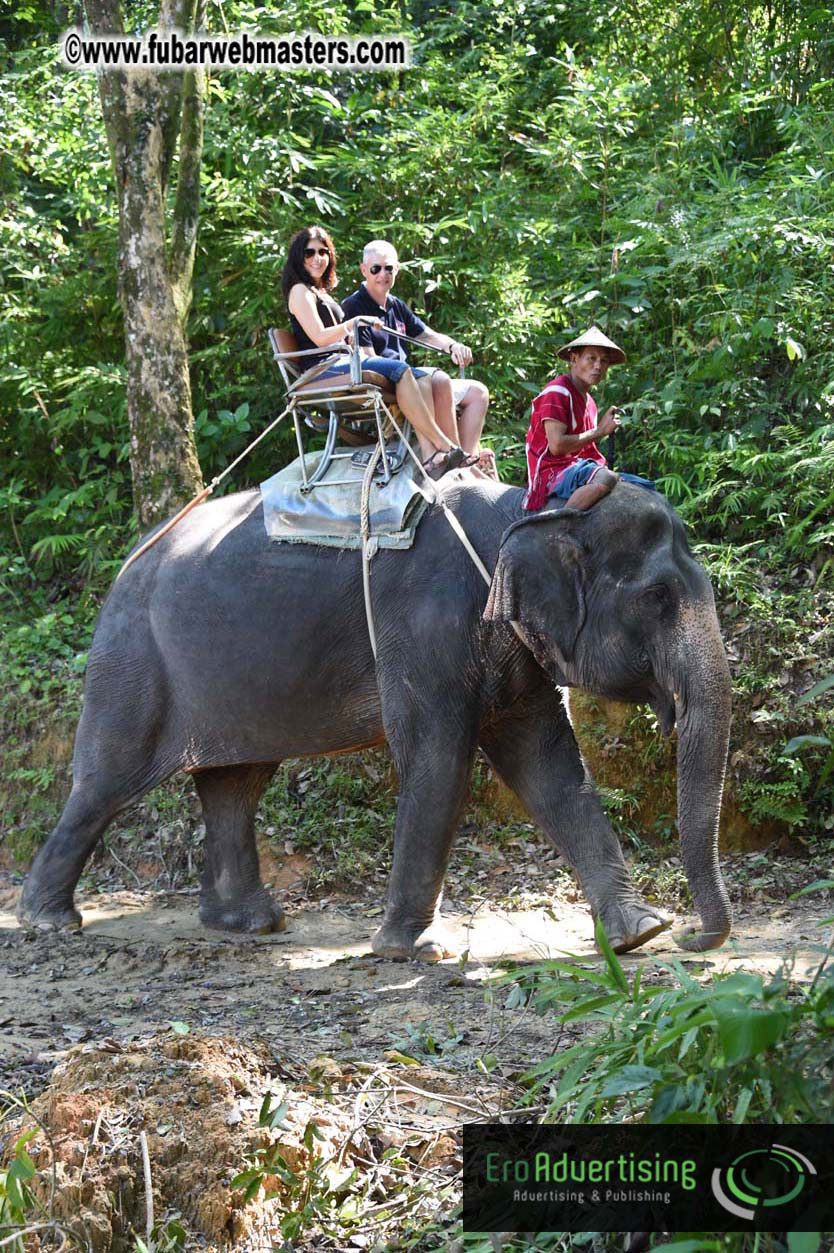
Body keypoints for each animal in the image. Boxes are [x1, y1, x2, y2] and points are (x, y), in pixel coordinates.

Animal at [18, 478, 733, 957]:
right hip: (133, 660)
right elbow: (440, 758)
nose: (695, 937)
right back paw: (48, 921)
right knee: (107, 782)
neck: (529, 511)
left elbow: (552, 768)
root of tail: (127, 561)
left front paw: (639, 932)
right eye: (658, 597)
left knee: (235, 783)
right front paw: (407, 950)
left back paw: (249, 925)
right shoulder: (423, 625)